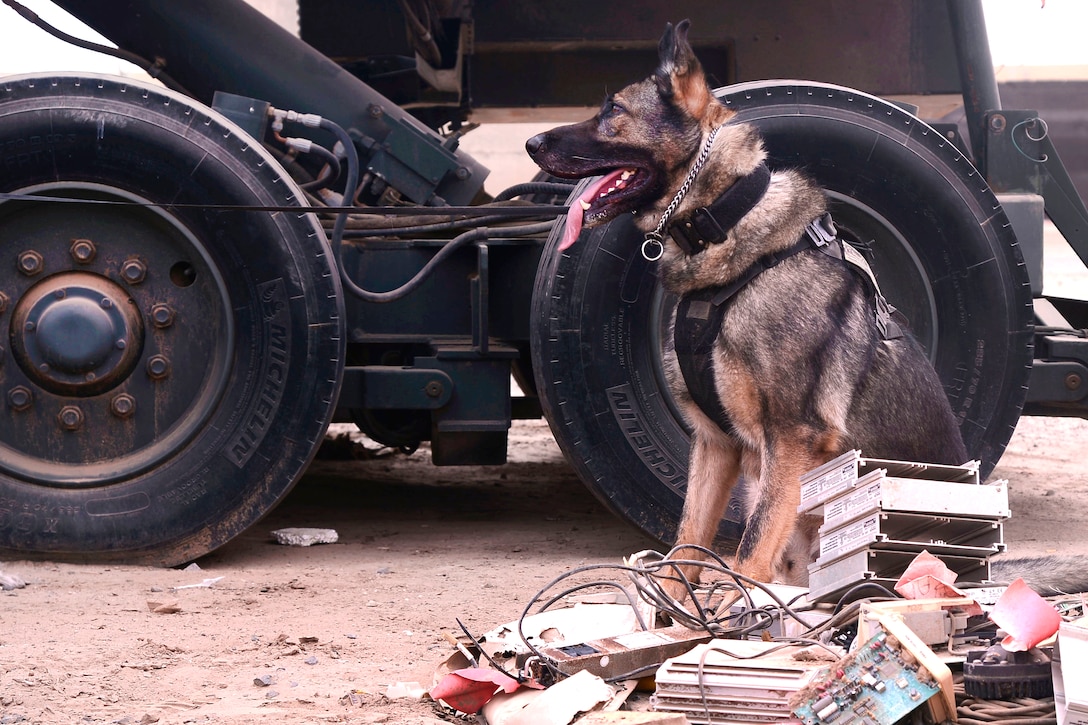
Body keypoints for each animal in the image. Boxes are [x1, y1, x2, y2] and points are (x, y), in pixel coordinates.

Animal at [526, 21, 970, 592]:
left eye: (614, 110)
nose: (531, 142)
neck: (724, 227)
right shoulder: (716, 444)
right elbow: (685, 544)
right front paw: (676, 613)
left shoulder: (791, 438)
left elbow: (752, 550)